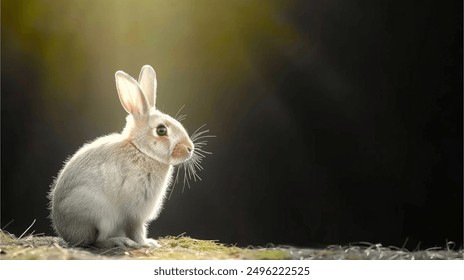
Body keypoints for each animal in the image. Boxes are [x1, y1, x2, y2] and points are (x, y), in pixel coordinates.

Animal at [48, 66, 197, 249]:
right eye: (161, 130)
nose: (190, 148)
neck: (141, 151)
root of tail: (68, 235)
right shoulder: (135, 213)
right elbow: (136, 230)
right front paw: (148, 244)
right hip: (100, 214)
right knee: (99, 240)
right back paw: (121, 241)